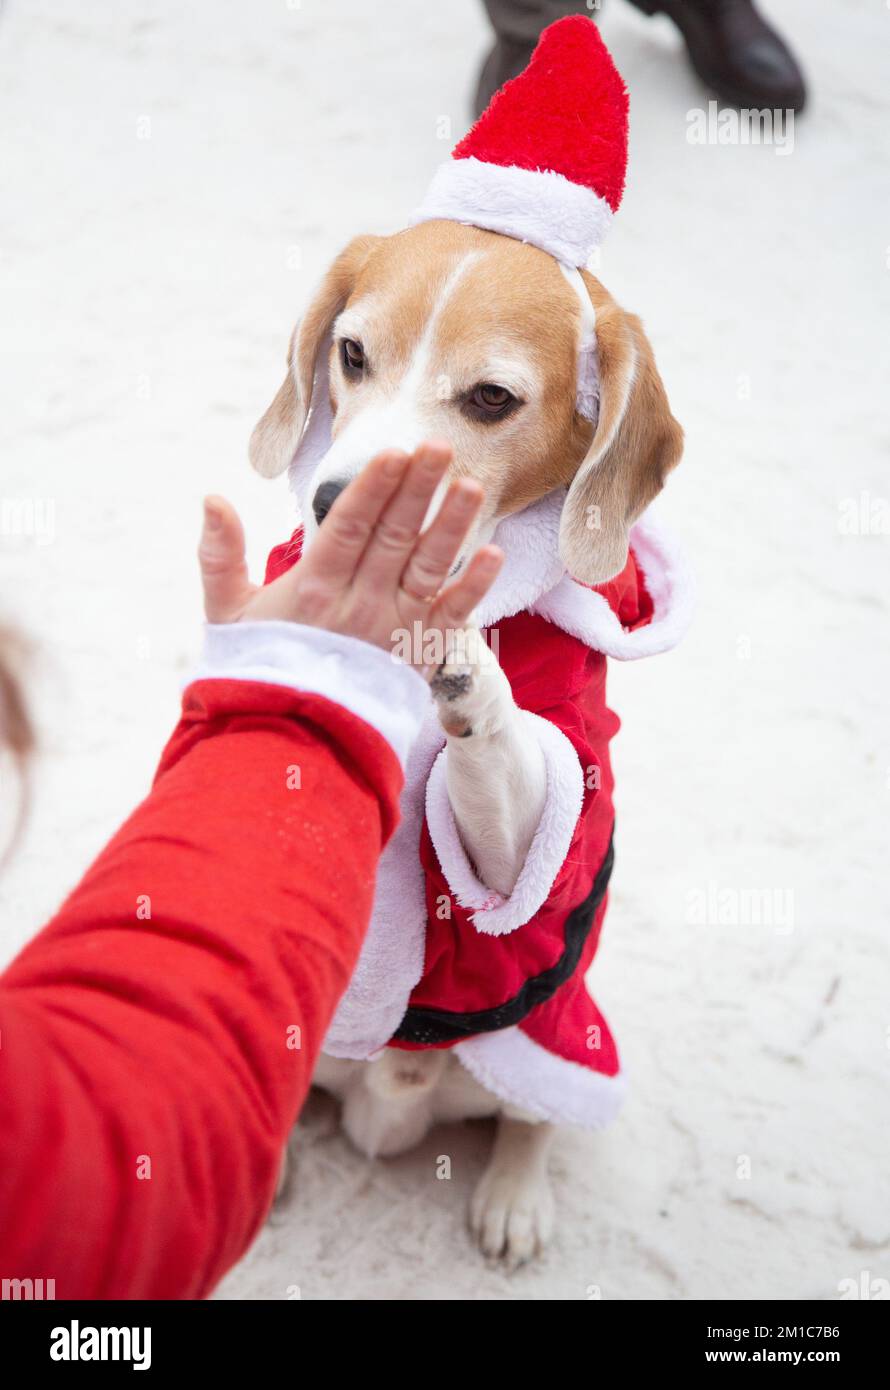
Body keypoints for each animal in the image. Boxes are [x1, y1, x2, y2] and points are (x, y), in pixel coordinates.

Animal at [248, 219, 681, 1273]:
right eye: (352, 354)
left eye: (491, 398)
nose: (339, 506)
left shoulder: (554, 790)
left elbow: (512, 773)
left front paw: (462, 662)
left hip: (561, 1041)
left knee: (533, 1122)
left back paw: (514, 1197)